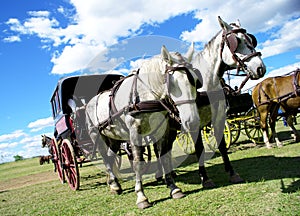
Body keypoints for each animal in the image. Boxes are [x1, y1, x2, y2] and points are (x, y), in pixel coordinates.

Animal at [85, 46, 200, 209]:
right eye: (173, 84)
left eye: (196, 81)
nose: (193, 121)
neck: (145, 94)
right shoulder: (135, 133)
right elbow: (138, 163)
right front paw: (141, 197)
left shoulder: (162, 132)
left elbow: (164, 157)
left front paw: (174, 188)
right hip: (97, 135)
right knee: (106, 158)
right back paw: (114, 184)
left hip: (113, 138)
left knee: (111, 156)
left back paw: (113, 183)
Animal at [191, 16, 266, 187]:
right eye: (236, 41)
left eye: (251, 39)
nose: (260, 68)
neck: (205, 85)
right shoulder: (193, 122)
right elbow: (199, 148)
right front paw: (205, 178)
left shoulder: (218, 116)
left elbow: (222, 145)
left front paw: (232, 173)